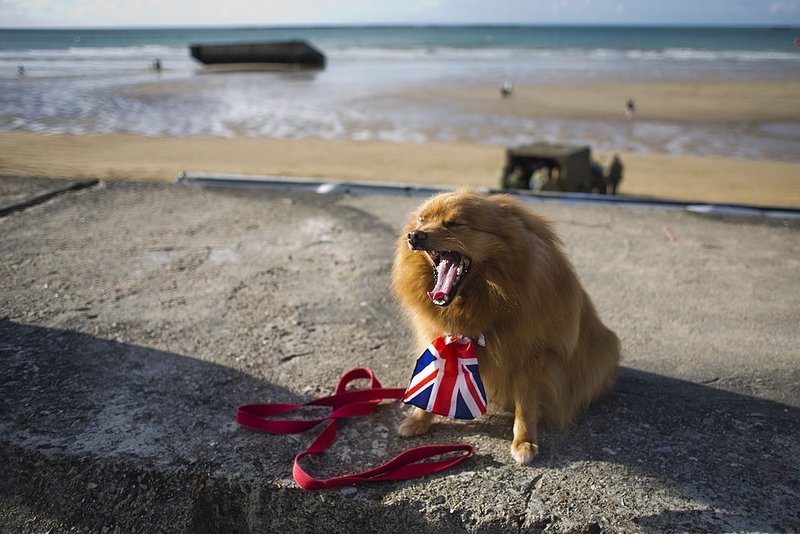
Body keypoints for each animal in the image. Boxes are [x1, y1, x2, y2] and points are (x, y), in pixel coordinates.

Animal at [390, 191, 620, 466]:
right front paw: (418, 420)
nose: (414, 235)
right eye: (422, 221)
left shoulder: (531, 357)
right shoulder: (441, 339)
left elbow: (526, 404)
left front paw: (524, 441)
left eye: (455, 224)